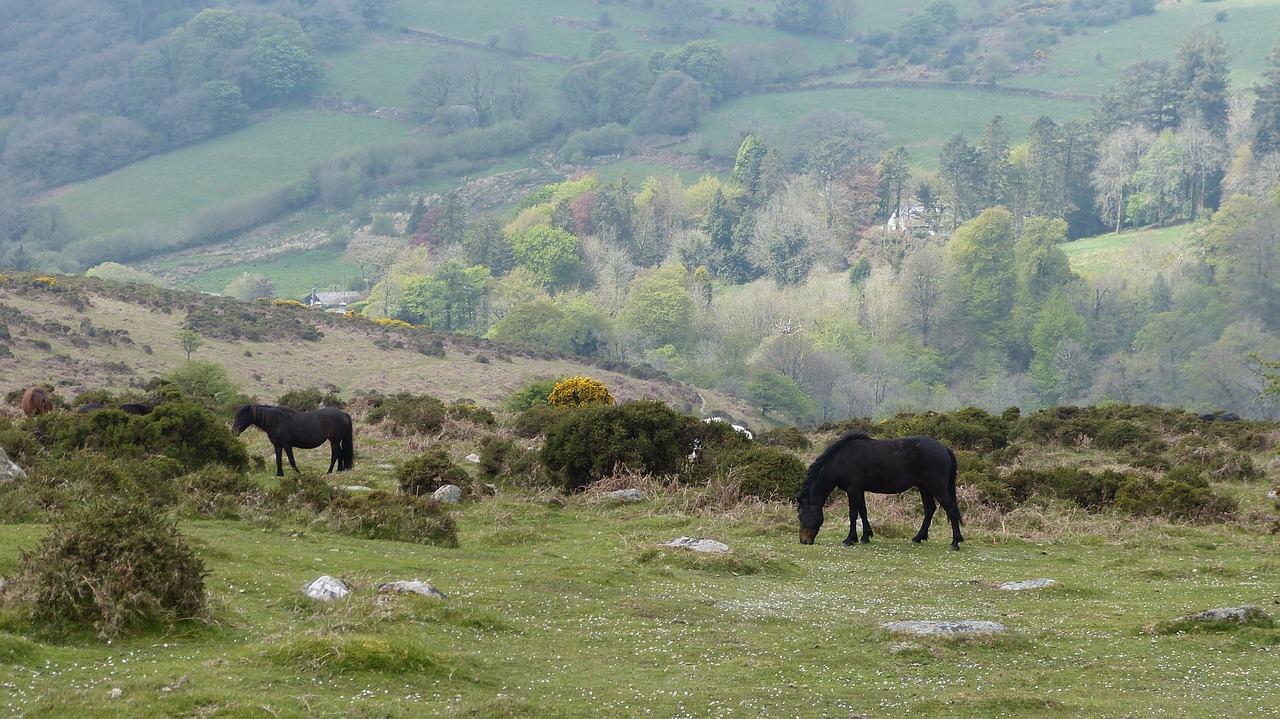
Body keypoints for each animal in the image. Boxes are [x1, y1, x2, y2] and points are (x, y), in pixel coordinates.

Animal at [793, 429, 962, 547]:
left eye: (801, 516)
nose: (803, 540)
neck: (842, 459)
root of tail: (944, 448)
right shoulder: (859, 490)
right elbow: (863, 511)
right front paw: (865, 536)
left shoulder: (853, 489)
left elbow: (853, 514)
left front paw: (849, 539)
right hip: (924, 487)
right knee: (929, 509)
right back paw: (918, 537)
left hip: (937, 487)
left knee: (951, 509)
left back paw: (955, 543)